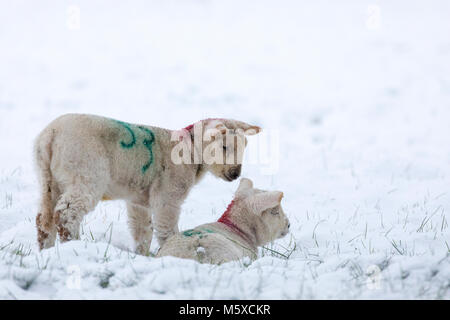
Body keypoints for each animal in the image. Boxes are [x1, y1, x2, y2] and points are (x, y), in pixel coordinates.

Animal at [34, 114, 260, 254]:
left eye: (245, 146)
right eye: (224, 146)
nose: (235, 173)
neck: (189, 152)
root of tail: (50, 136)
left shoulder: (138, 199)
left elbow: (142, 230)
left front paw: (142, 255)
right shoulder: (168, 193)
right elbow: (166, 227)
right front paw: (169, 249)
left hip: (47, 178)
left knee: (44, 218)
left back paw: (46, 249)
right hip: (85, 172)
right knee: (66, 213)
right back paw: (71, 243)